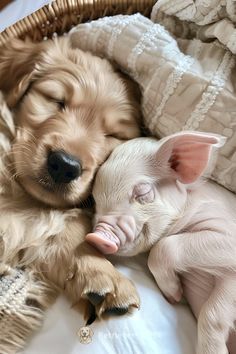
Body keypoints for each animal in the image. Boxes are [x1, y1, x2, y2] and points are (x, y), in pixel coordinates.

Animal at [86, 132, 236, 354]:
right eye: (95, 201)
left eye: (142, 192)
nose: (95, 237)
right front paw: (174, 296)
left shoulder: (227, 235)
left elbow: (164, 247)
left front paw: (173, 297)